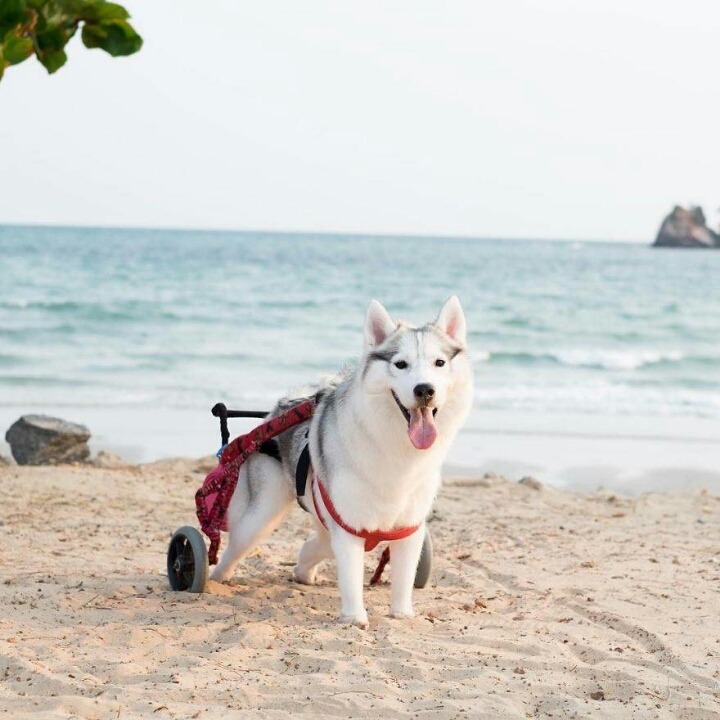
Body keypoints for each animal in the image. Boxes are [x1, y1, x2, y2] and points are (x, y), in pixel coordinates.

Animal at [210, 297, 473, 627]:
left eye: (439, 363)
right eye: (400, 364)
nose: (424, 389)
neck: (396, 449)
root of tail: (280, 408)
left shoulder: (410, 527)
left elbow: (403, 576)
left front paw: (401, 613)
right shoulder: (348, 527)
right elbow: (350, 575)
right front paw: (355, 617)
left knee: (316, 544)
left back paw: (302, 570)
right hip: (260, 515)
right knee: (236, 545)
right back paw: (213, 578)